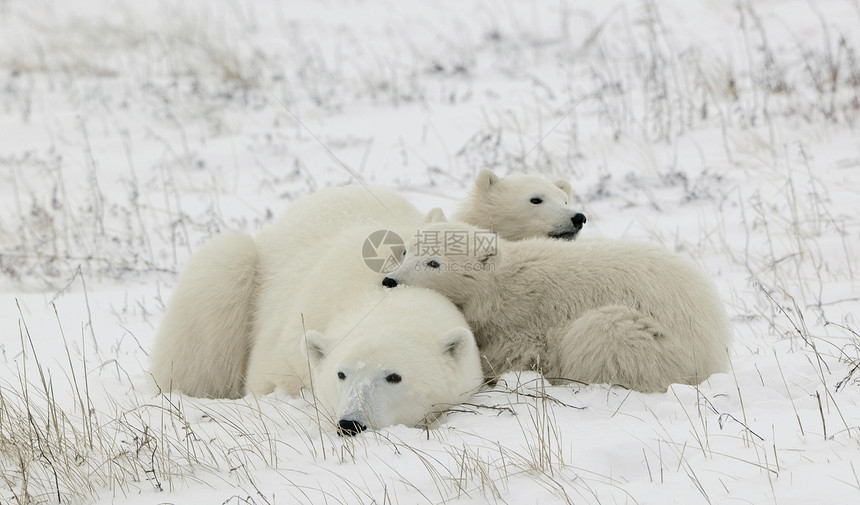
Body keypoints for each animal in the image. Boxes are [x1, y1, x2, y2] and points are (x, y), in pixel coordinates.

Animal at [384, 221, 732, 394]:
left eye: (433, 262)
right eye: (406, 251)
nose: (390, 280)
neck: (500, 286)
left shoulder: (525, 318)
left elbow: (516, 352)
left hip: (657, 337)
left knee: (604, 333)